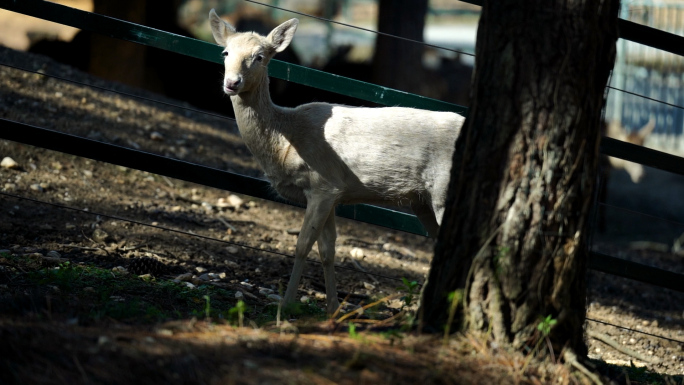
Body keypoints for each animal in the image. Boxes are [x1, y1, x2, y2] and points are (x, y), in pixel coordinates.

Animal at [208, 10, 464, 314]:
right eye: (225, 52)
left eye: (259, 56)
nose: (231, 83)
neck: (284, 143)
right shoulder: (334, 191)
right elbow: (327, 250)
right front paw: (332, 308)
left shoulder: (323, 183)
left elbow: (302, 244)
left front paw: (287, 305)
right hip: (422, 202)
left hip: (444, 191)